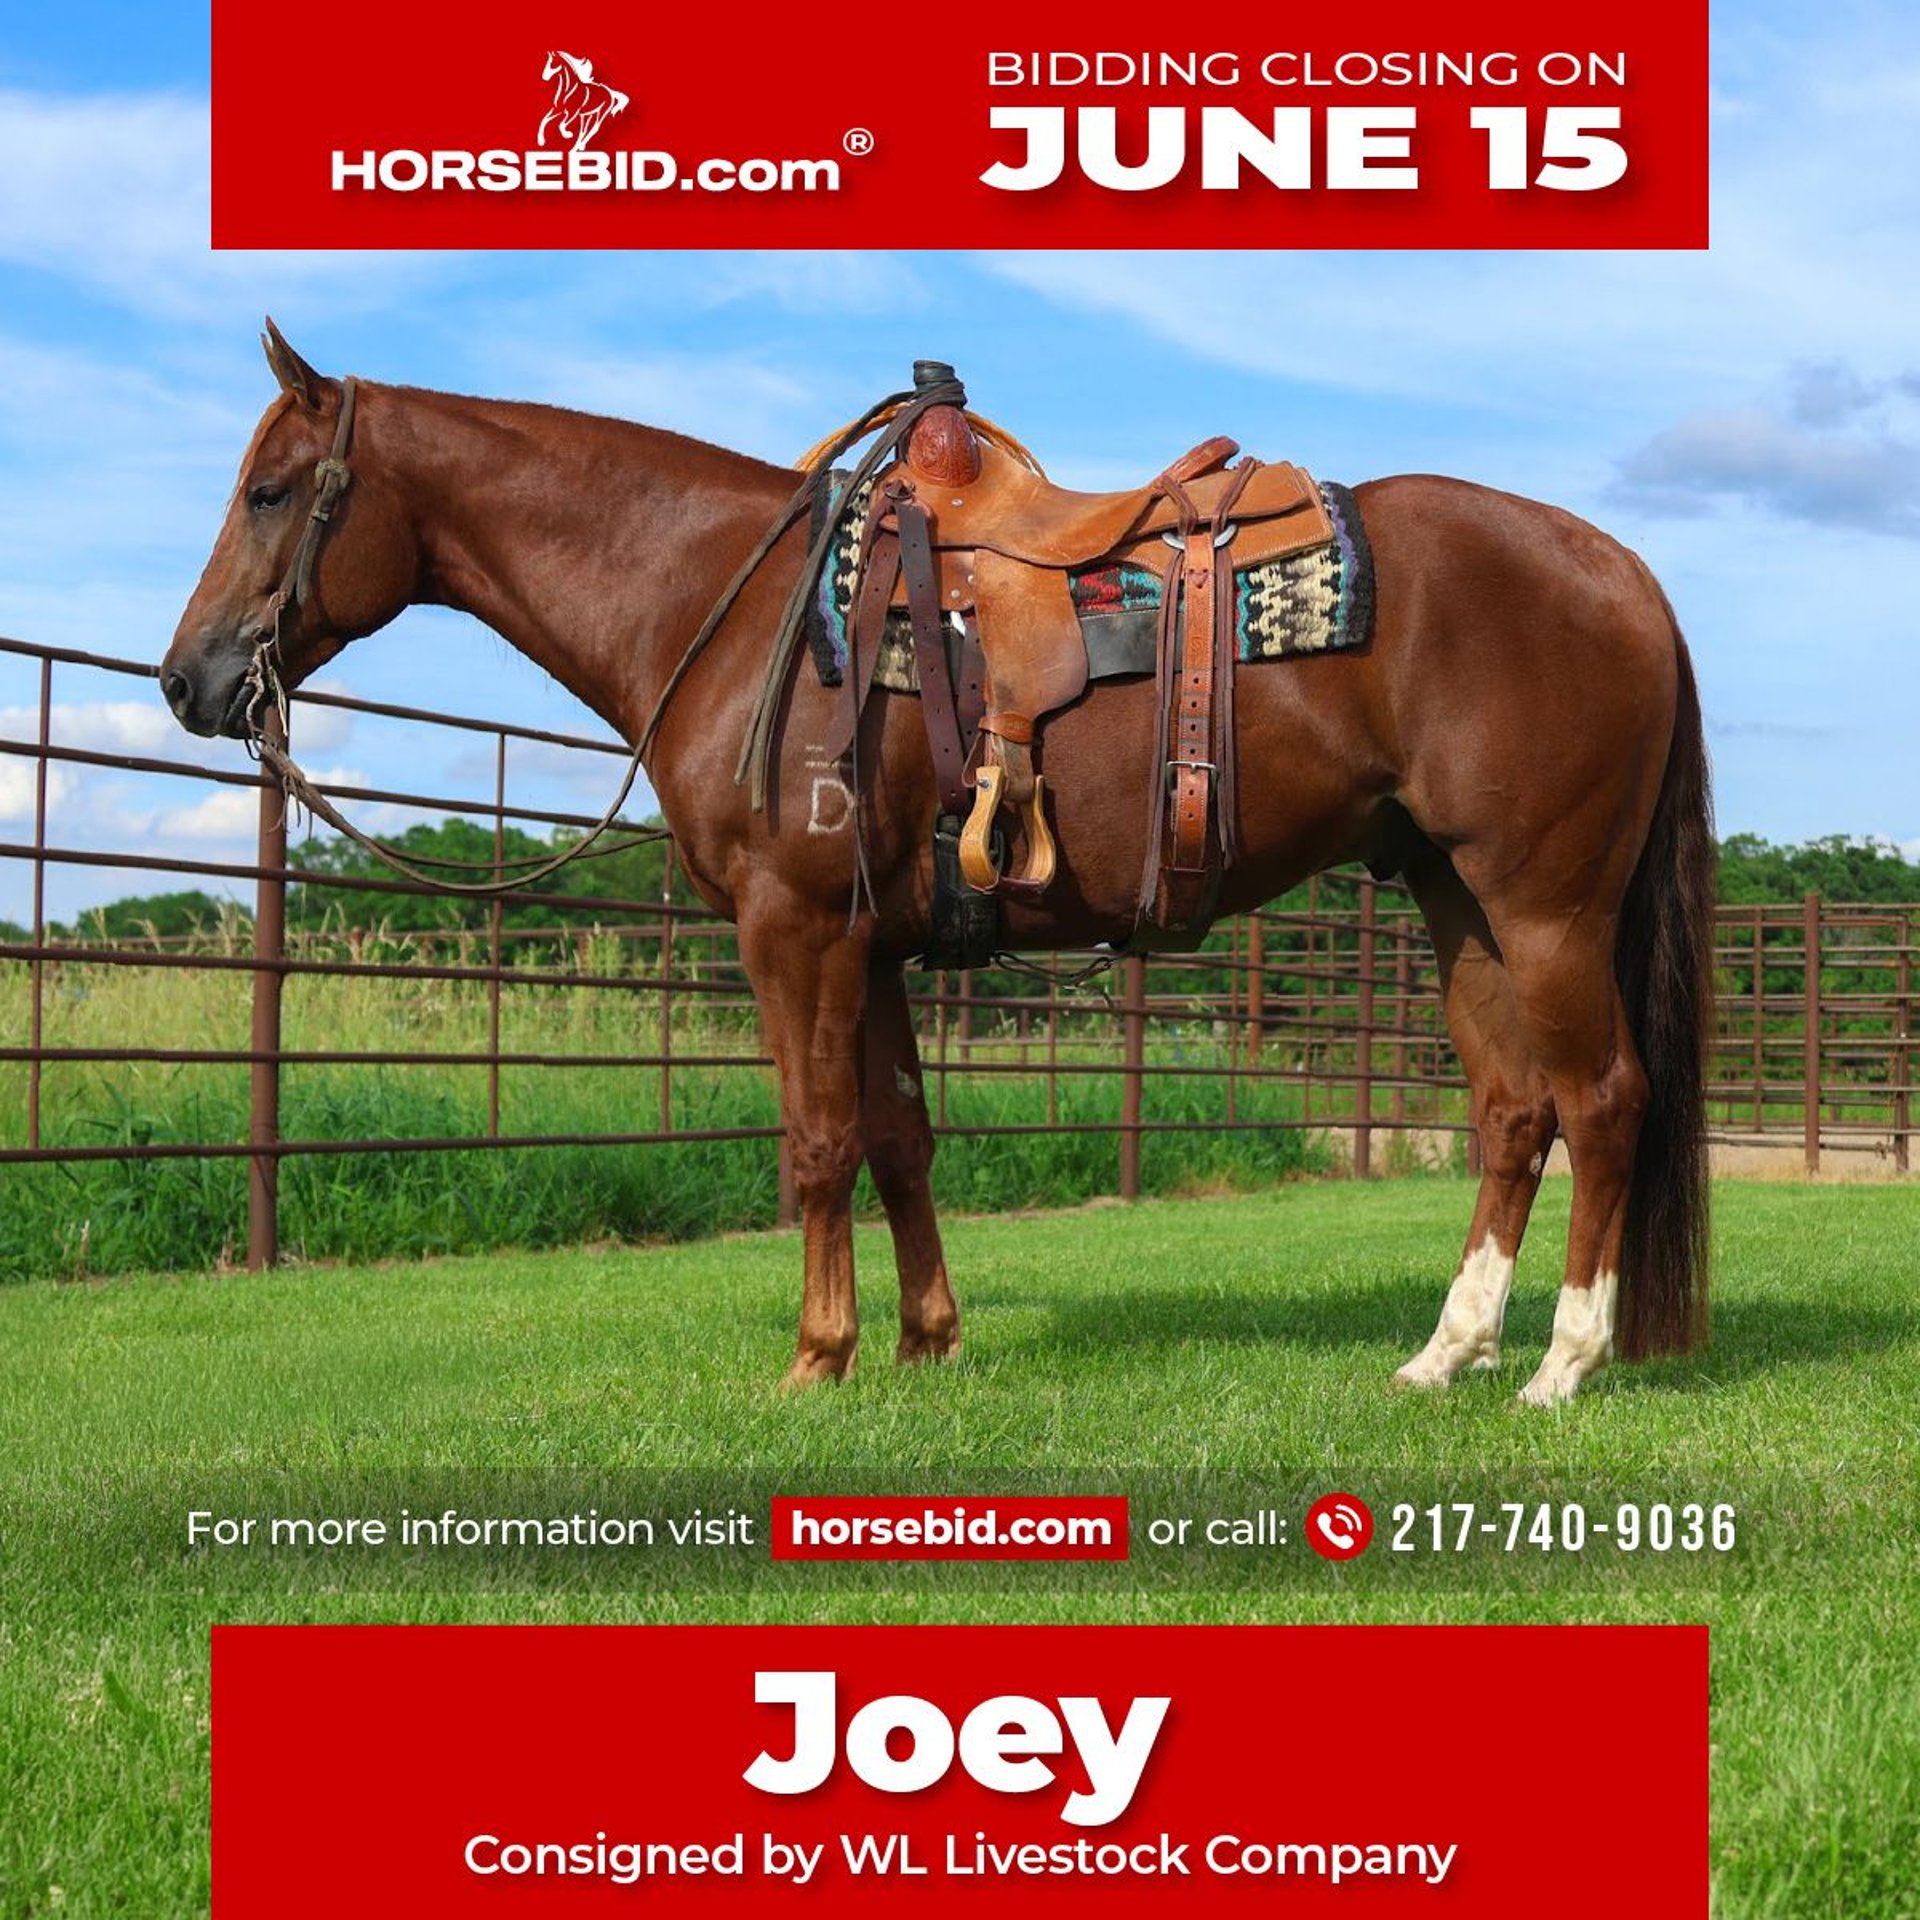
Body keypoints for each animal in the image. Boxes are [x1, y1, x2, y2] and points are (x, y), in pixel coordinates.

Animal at [161, 324, 1715, 1403]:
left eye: (272, 491)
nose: (188, 680)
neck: (730, 608)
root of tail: (1626, 572)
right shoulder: (878, 943)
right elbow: (902, 1139)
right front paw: (928, 1342)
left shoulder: (794, 931)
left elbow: (818, 1140)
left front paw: (816, 1356)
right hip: (1459, 903)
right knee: (1514, 1112)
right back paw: (1445, 1356)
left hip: (1546, 904)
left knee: (1604, 1099)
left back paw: (1560, 1366)